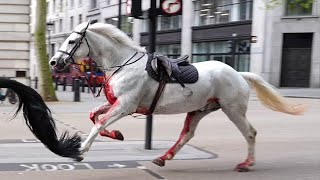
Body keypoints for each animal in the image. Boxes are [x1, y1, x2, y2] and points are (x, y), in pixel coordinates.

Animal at [48, 21, 304, 172]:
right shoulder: (117, 103)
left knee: (250, 133)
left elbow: (99, 122)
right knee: (187, 135)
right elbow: (94, 116)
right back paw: (163, 157)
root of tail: (238, 73)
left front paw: (80, 151)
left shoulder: (125, 105)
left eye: (72, 41)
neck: (122, 65)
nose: (53, 62)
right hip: (200, 110)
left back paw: (246, 163)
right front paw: (116, 135)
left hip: (233, 109)